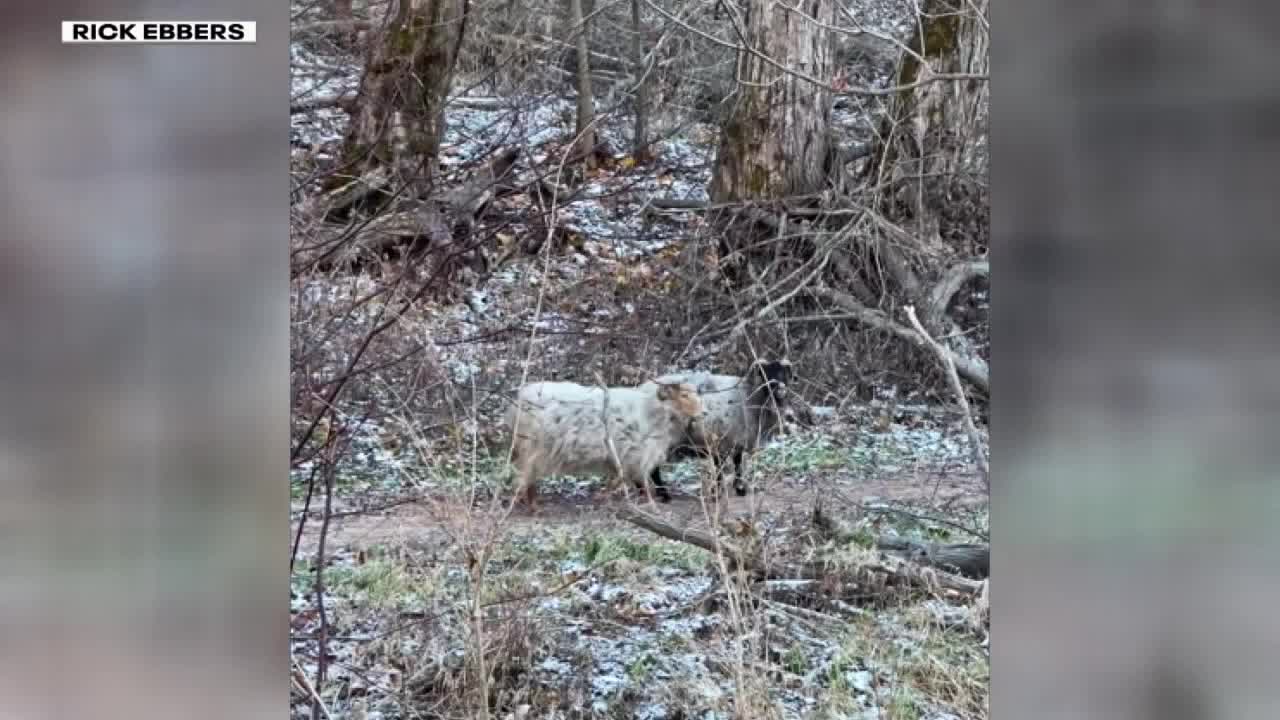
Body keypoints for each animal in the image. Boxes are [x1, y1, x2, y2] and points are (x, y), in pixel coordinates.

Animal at [505, 379, 704, 507]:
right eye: (684, 395)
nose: (704, 413)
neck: (657, 411)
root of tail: (517, 404)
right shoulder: (639, 451)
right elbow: (647, 475)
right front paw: (654, 497)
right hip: (533, 448)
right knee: (524, 474)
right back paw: (531, 505)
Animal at [638, 359, 791, 498]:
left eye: (783, 373)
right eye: (766, 373)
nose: (781, 389)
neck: (747, 396)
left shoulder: (736, 441)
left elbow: (737, 465)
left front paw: (739, 489)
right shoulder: (720, 442)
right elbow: (720, 469)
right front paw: (718, 492)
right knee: (652, 468)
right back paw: (663, 494)